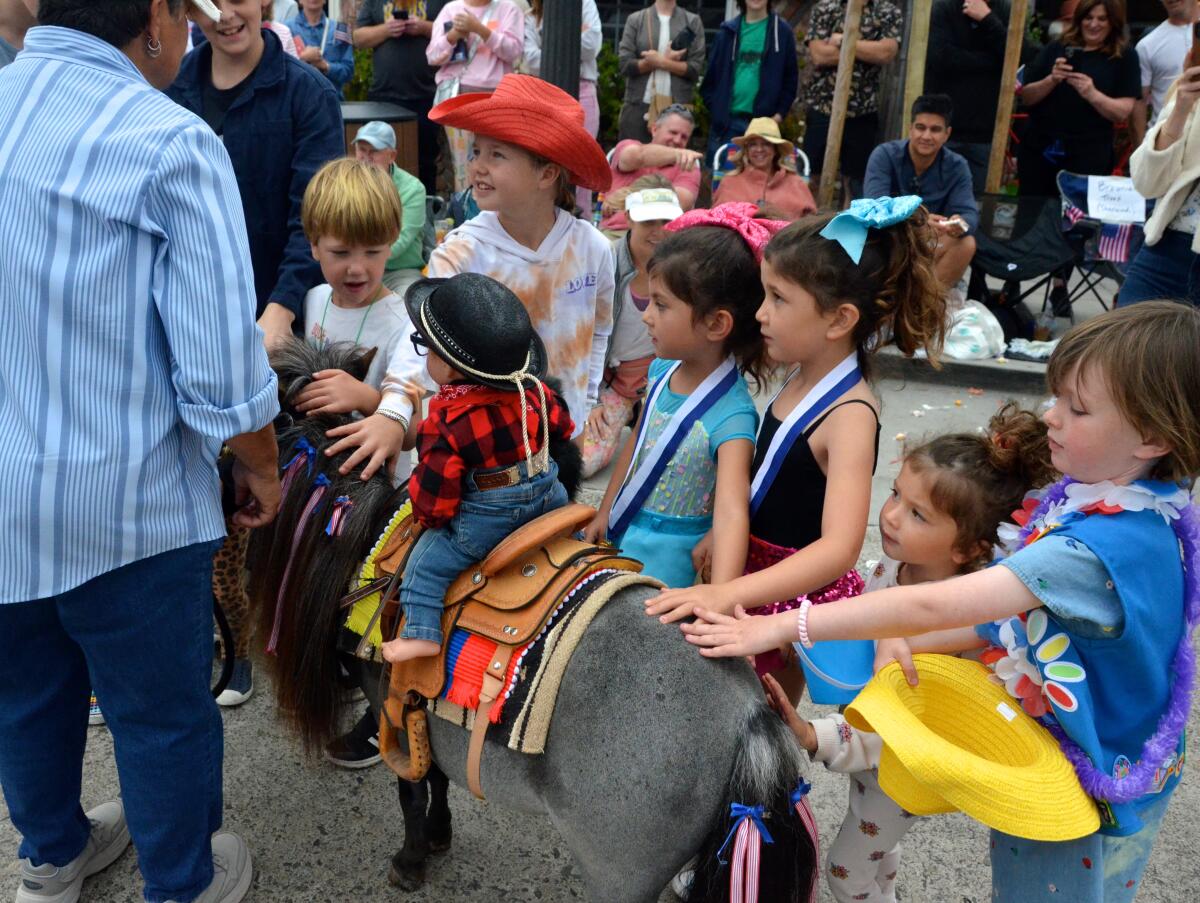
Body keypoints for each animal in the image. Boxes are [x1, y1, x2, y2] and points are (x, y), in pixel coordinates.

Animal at [249, 338, 820, 903]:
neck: (361, 538)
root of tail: (751, 718)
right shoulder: (423, 711)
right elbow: (437, 776)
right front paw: (438, 834)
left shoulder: (389, 703)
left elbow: (412, 788)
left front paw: (410, 860)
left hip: (619, 874)